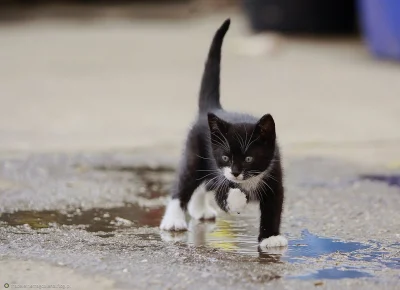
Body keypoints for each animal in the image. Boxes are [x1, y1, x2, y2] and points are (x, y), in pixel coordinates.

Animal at [159, 19, 288, 248]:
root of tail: (213, 108)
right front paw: (238, 201)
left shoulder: (274, 176)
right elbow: (225, 195)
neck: (248, 181)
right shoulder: (222, 176)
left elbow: (273, 209)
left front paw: (270, 238)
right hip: (194, 155)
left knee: (202, 184)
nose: (235, 172)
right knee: (183, 185)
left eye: (249, 158)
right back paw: (173, 220)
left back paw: (199, 209)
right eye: (226, 157)